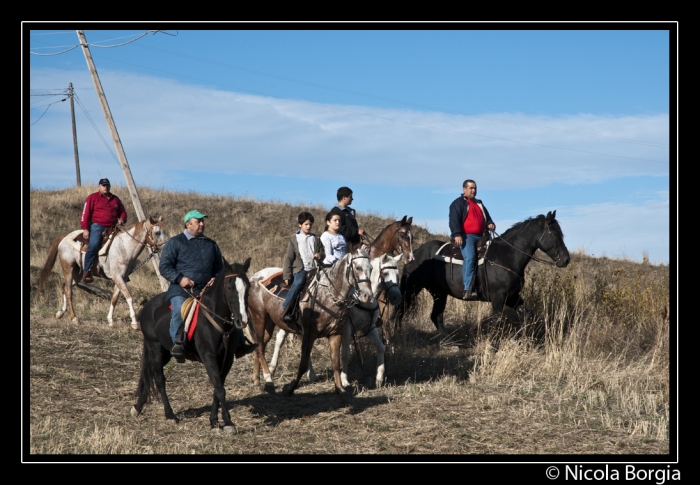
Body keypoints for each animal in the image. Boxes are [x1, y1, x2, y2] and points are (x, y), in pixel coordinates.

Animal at [38, 216, 168, 328]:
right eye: (157, 232)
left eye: (164, 231)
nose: (165, 247)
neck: (125, 248)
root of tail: (65, 237)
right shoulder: (118, 277)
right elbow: (129, 297)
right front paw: (134, 323)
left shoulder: (121, 279)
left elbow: (114, 299)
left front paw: (110, 320)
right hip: (68, 269)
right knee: (69, 291)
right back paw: (74, 318)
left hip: (77, 275)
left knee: (64, 288)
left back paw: (60, 313)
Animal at [131, 258, 252, 432]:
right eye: (229, 287)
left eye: (247, 287)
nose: (242, 321)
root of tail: (148, 306)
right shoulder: (208, 356)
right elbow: (219, 388)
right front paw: (228, 422)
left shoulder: (227, 358)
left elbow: (218, 387)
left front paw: (214, 421)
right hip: (155, 349)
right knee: (159, 379)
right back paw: (170, 415)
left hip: (165, 353)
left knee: (148, 374)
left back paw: (138, 406)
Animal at [266, 251, 402, 388]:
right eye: (385, 273)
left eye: (397, 274)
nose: (397, 297)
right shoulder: (346, 329)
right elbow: (345, 354)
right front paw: (345, 380)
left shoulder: (369, 327)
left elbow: (381, 347)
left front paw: (379, 378)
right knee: (279, 340)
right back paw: (271, 369)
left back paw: (311, 374)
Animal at [400, 210, 568, 334]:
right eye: (554, 233)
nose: (566, 259)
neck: (506, 256)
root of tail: (415, 253)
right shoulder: (498, 297)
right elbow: (496, 322)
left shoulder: (512, 297)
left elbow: (528, 314)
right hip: (412, 289)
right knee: (401, 310)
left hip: (439, 293)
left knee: (436, 316)